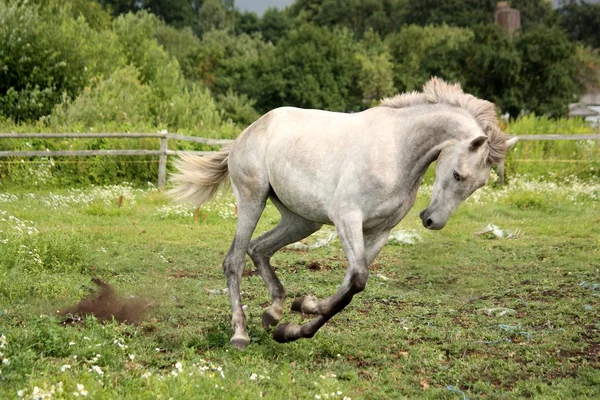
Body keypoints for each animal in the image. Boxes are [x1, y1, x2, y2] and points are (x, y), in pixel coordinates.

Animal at [170, 77, 520, 346]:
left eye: (479, 184)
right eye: (458, 175)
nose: (432, 220)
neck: (398, 149)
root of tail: (248, 132)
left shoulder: (379, 232)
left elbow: (351, 285)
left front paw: (297, 319)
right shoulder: (347, 218)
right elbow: (358, 278)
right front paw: (304, 309)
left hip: (302, 221)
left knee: (259, 249)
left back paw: (274, 313)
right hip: (252, 200)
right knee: (235, 260)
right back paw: (240, 334)